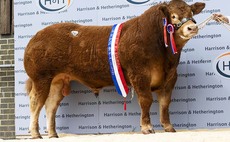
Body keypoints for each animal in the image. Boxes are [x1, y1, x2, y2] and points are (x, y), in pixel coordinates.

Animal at [24, 0, 206, 139]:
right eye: (173, 16)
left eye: (191, 13)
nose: (192, 27)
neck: (165, 57)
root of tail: (37, 36)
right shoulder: (139, 74)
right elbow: (146, 100)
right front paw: (147, 128)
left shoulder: (171, 77)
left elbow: (165, 103)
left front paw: (168, 127)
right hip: (41, 78)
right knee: (36, 102)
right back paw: (35, 134)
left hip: (58, 81)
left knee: (50, 105)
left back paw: (53, 134)